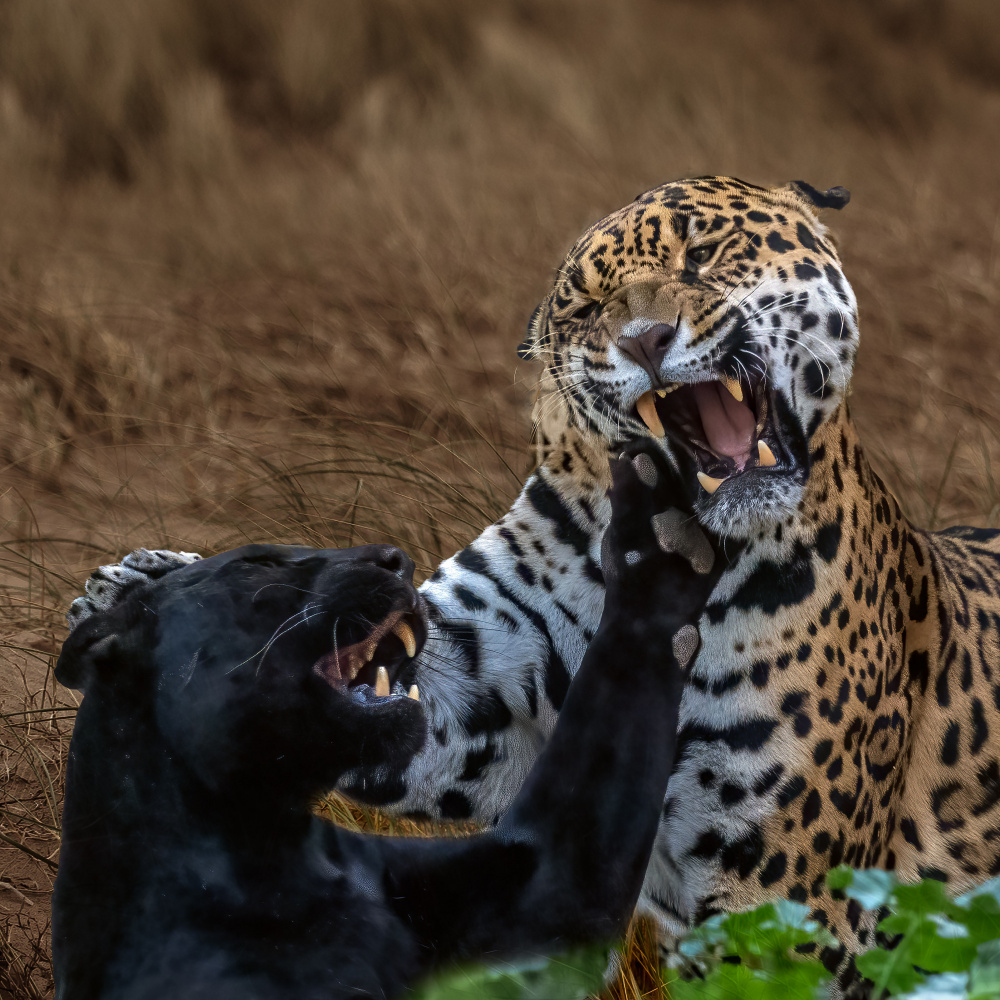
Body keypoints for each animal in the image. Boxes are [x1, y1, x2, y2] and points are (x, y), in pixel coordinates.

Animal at [72, 177, 1000, 996]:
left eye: (703, 253)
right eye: (587, 310)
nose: (646, 340)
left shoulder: (784, 895)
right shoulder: (481, 704)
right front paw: (139, 581)